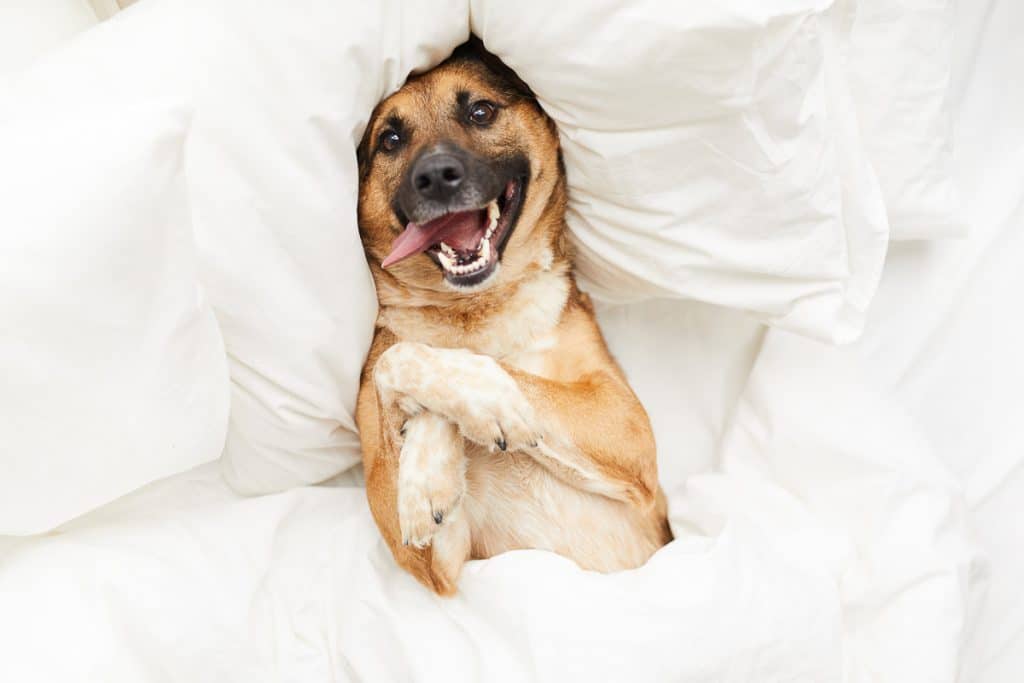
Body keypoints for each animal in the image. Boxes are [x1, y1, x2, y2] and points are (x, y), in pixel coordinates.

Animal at [354, 37, 671, 593]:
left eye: (480, 111)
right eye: (390, 139)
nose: (435, 177)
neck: (476, 311)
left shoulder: (627, 426)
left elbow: (478, 369)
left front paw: (487, 406)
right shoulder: (433, 562)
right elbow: (397, 359)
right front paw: (429, 475)